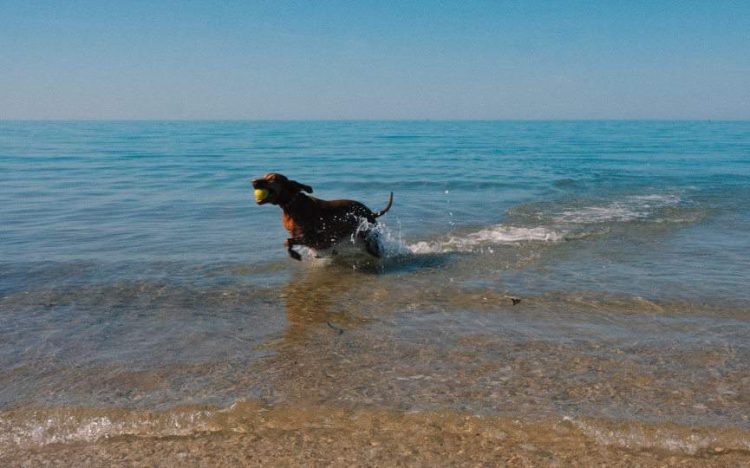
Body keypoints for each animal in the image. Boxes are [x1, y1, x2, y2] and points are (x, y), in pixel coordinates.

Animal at [253, 172, 394, 260]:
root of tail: (370, 212)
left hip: (367, 237)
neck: (291, 205)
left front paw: (295, 255)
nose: (253, 181)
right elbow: (288, 241)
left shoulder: (312, 238)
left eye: (272, 179)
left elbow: (287, 241)